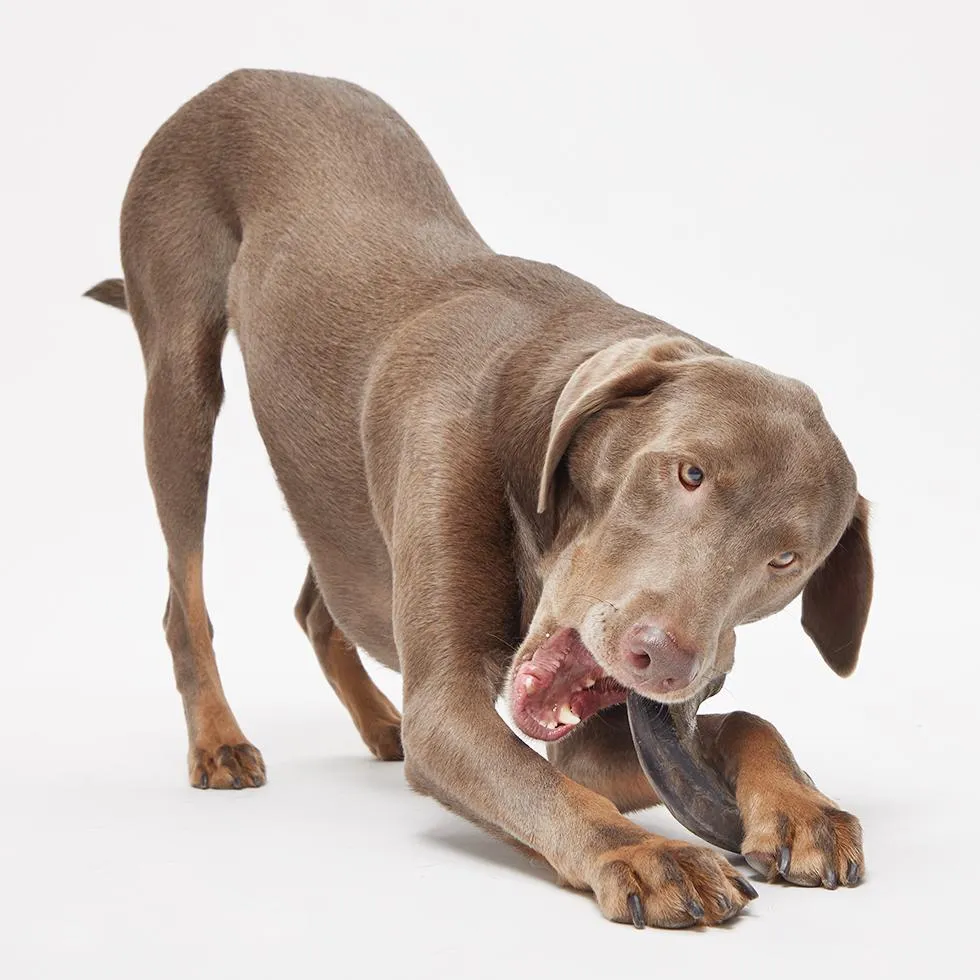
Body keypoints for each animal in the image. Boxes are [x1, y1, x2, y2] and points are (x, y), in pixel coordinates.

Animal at [86, 69, 872, 928]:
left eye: (786, 561)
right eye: (687, 473)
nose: (667, 663)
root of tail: (243, 77)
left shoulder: (587, 739)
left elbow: (743, 724)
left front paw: (801, 807)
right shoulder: (450, 710)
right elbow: (547, 789)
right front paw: (645, 853)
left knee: (324, 603)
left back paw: (377, 720)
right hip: (180, 381)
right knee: (184, 594)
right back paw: (218, 741)